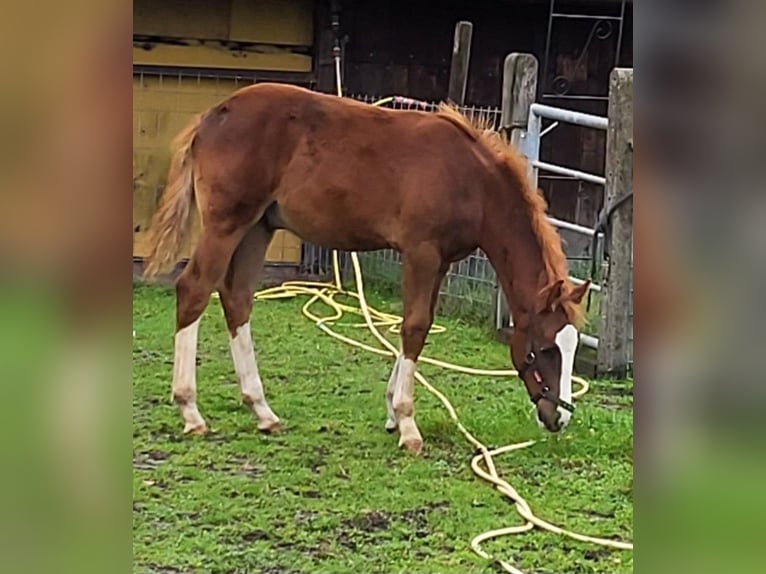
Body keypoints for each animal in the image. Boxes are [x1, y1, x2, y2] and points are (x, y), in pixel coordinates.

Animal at [142, 83, 588, 456]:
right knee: (194, 288)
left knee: (237, 298)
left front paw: (392, 414)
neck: (471, 181)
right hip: (227, 222)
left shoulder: (441, 261)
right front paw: (408, 425)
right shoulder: (421, 252)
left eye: (572, 348)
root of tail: (212, 116)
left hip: (258, 227)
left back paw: (263, 411)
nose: (559, 418)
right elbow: (414, 326)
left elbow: (419, 324)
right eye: (543, 349)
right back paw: (191, 412)